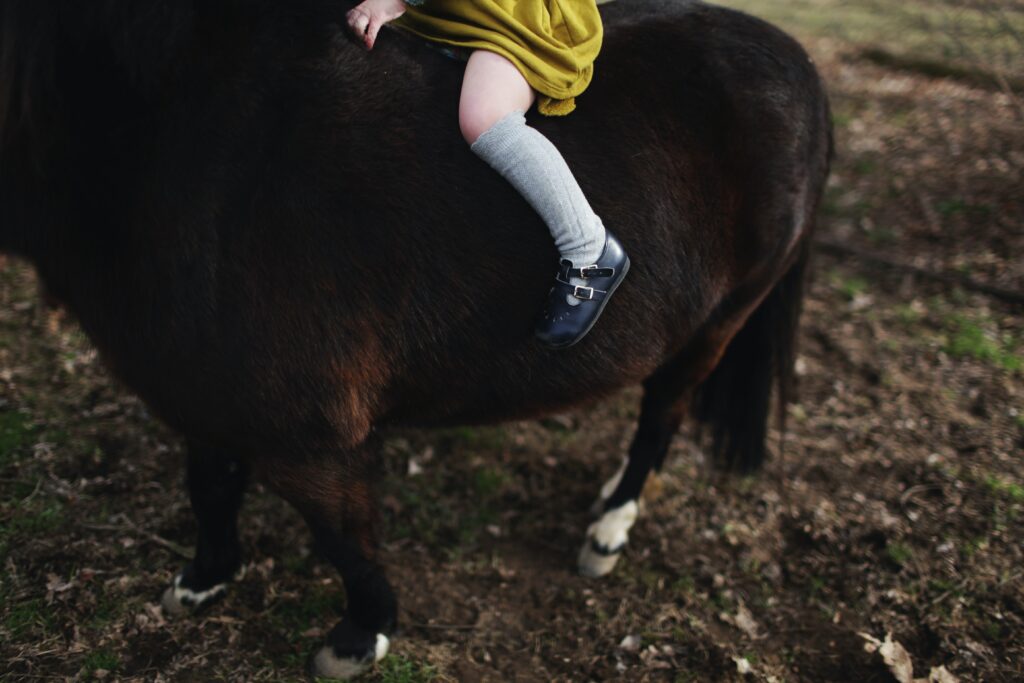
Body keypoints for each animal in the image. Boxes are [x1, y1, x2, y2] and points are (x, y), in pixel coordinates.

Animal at [0, 0, 831, 675]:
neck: (168, 135)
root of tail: (801, 63)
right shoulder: (201, 388)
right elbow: (209, 484)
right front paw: (203, 579)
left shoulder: (308, 434)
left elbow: (342, 534)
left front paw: (360, 636)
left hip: (717, 323)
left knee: (662, 414)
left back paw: (608, 528)